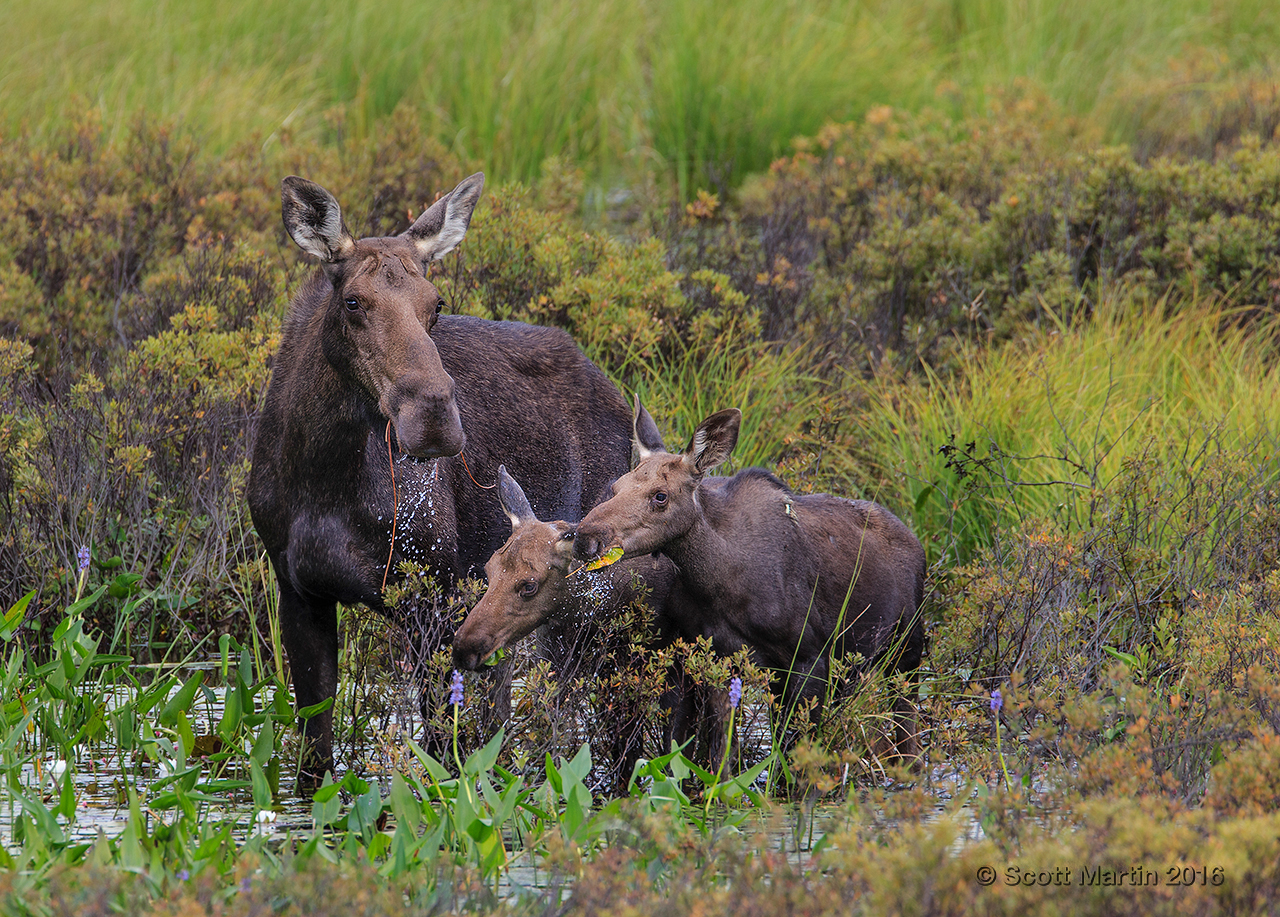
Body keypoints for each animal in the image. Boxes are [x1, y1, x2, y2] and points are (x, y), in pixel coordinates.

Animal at [245, 174, 660, 788]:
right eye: (353, 302)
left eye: (436, 304)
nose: (436, 416)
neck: (323, 477)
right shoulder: (299, 591)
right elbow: (316, 757)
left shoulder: (432, 599)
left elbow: (445, 753)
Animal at [576, 402, 926, 758]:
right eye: (616, 487)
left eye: (660, 496)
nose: (586, 538)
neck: (724, 582)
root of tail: (916, 540)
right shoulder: (718, 662)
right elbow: (717, 756)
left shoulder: (810, 659)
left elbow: (795, 759)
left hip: (907, 651)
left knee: (908, 730)